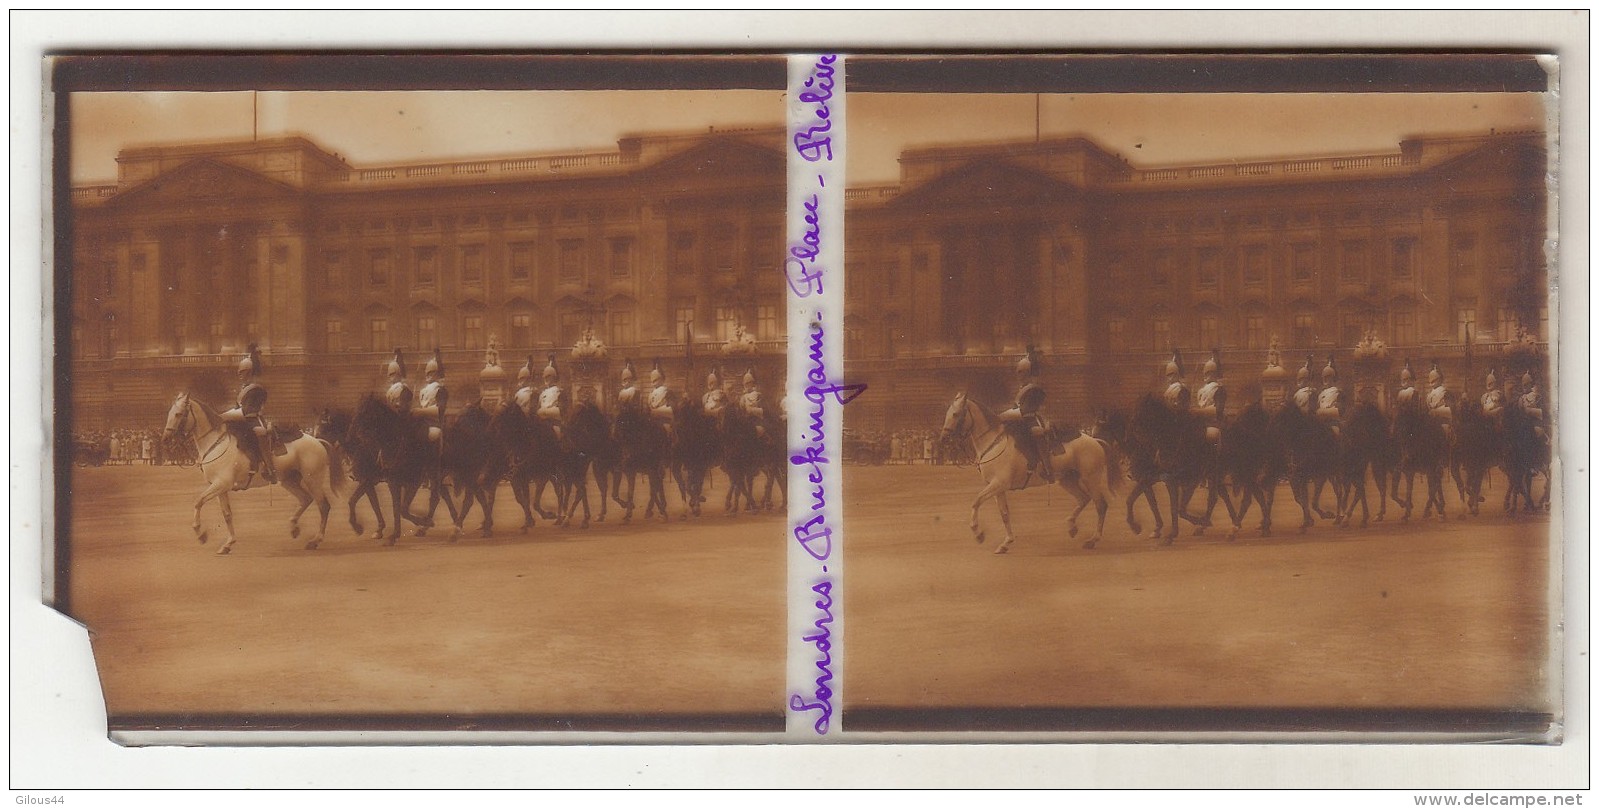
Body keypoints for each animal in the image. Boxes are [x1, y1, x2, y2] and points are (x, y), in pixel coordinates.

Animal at [162, 391, 343, 556]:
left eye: (178, 414)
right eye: (170, 413)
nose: (165, 438)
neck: (216, 443)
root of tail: (317, 441)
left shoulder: (221, 484)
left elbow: (198, 501)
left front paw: (200, 533)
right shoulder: (220, 488)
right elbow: (227, 514)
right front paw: (228, 544)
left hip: (313, 480)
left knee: (323, 506)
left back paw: (315, 540)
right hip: (289, 481)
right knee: (306, 499)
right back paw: (294, 527)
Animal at [933, 393, 1112, 556]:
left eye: (956, 414)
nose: (944, 438)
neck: (994, 443)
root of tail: (1095, 441)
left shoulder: (998, 484)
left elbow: (976, 502)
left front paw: (978, 533)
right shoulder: (997, 488)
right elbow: (1004, 514)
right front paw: (1005, 543)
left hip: (1091, 479)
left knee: (1100, 505)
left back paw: (1092, 540)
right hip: (1067, 480)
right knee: (1083, 499)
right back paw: (1072, 527)